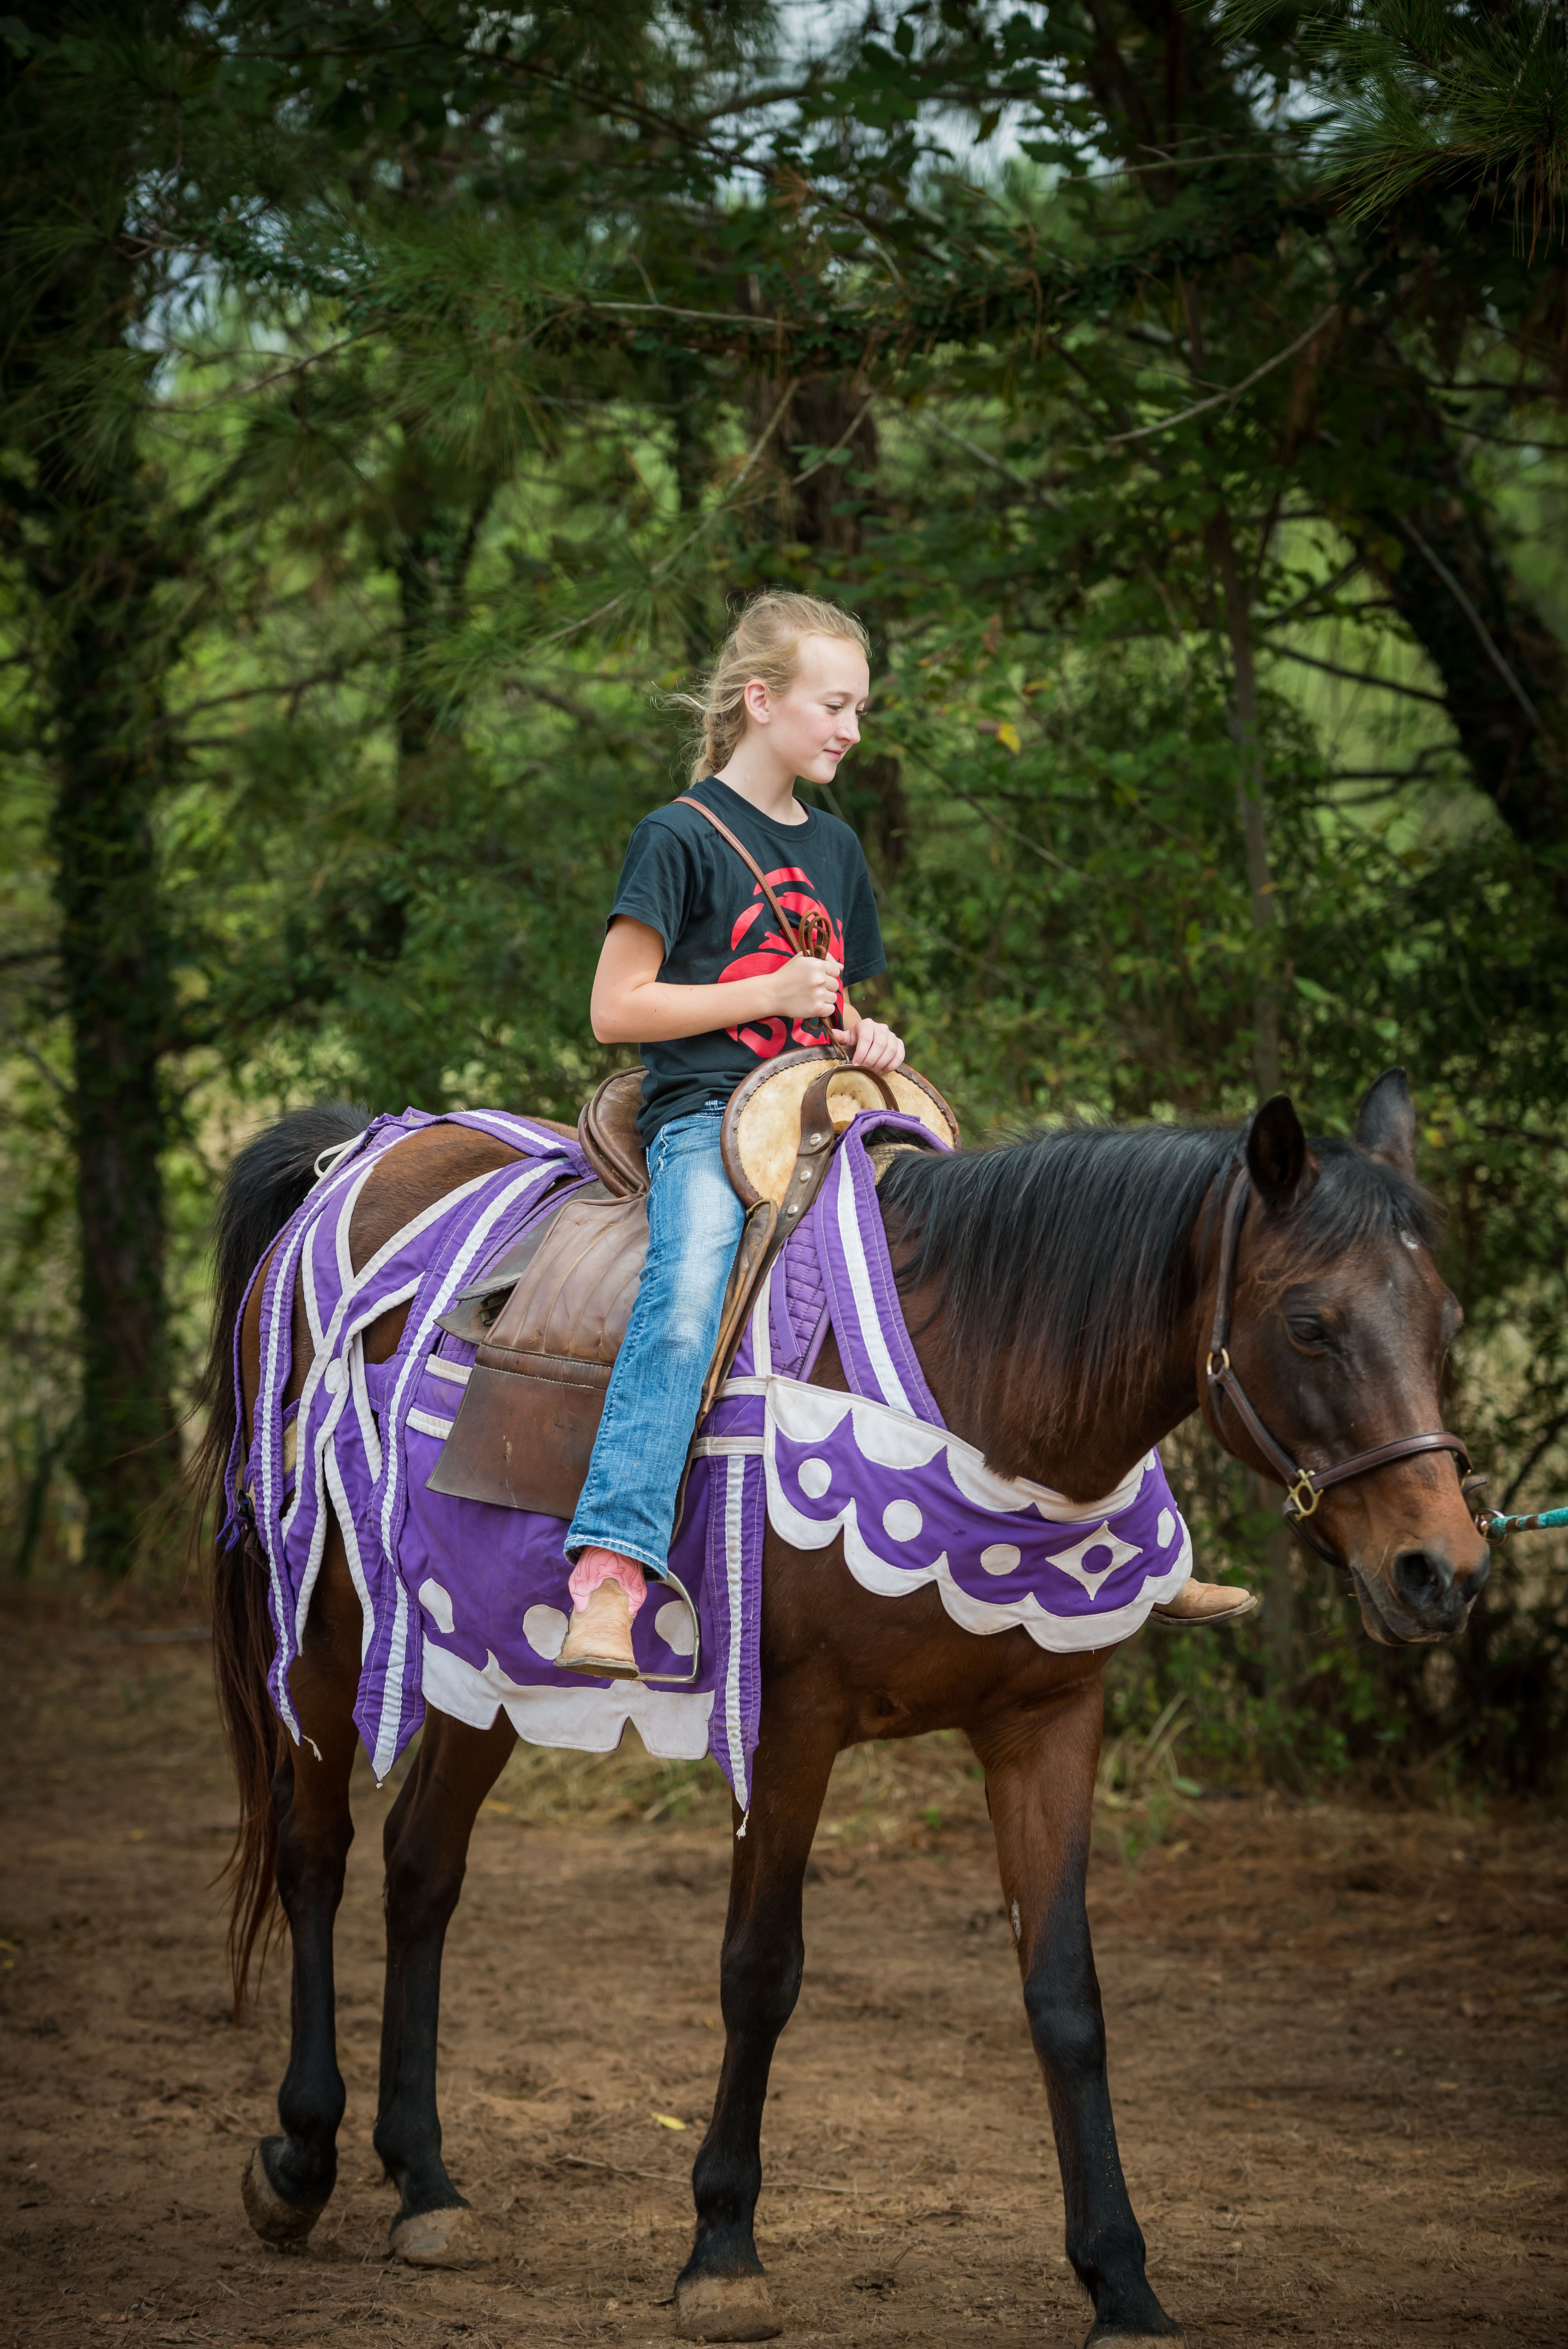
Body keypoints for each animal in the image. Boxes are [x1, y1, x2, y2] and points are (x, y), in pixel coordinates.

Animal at [192, 1071, 1483, 2349]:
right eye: (1309, 1324)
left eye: (1448, 1321)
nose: (1443, 1572)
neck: (984, 1383)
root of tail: (363, 1151)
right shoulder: (792, 1726)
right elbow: (761, 1970)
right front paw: (722, 2248)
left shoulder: (1049, 1723)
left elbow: (1066, 1996)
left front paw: (1122, 2283)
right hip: (324, 1622)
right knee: (316, 1854)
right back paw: (301, 2154)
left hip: (488, 1643)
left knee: (422, 1868)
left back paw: (426, 2184)